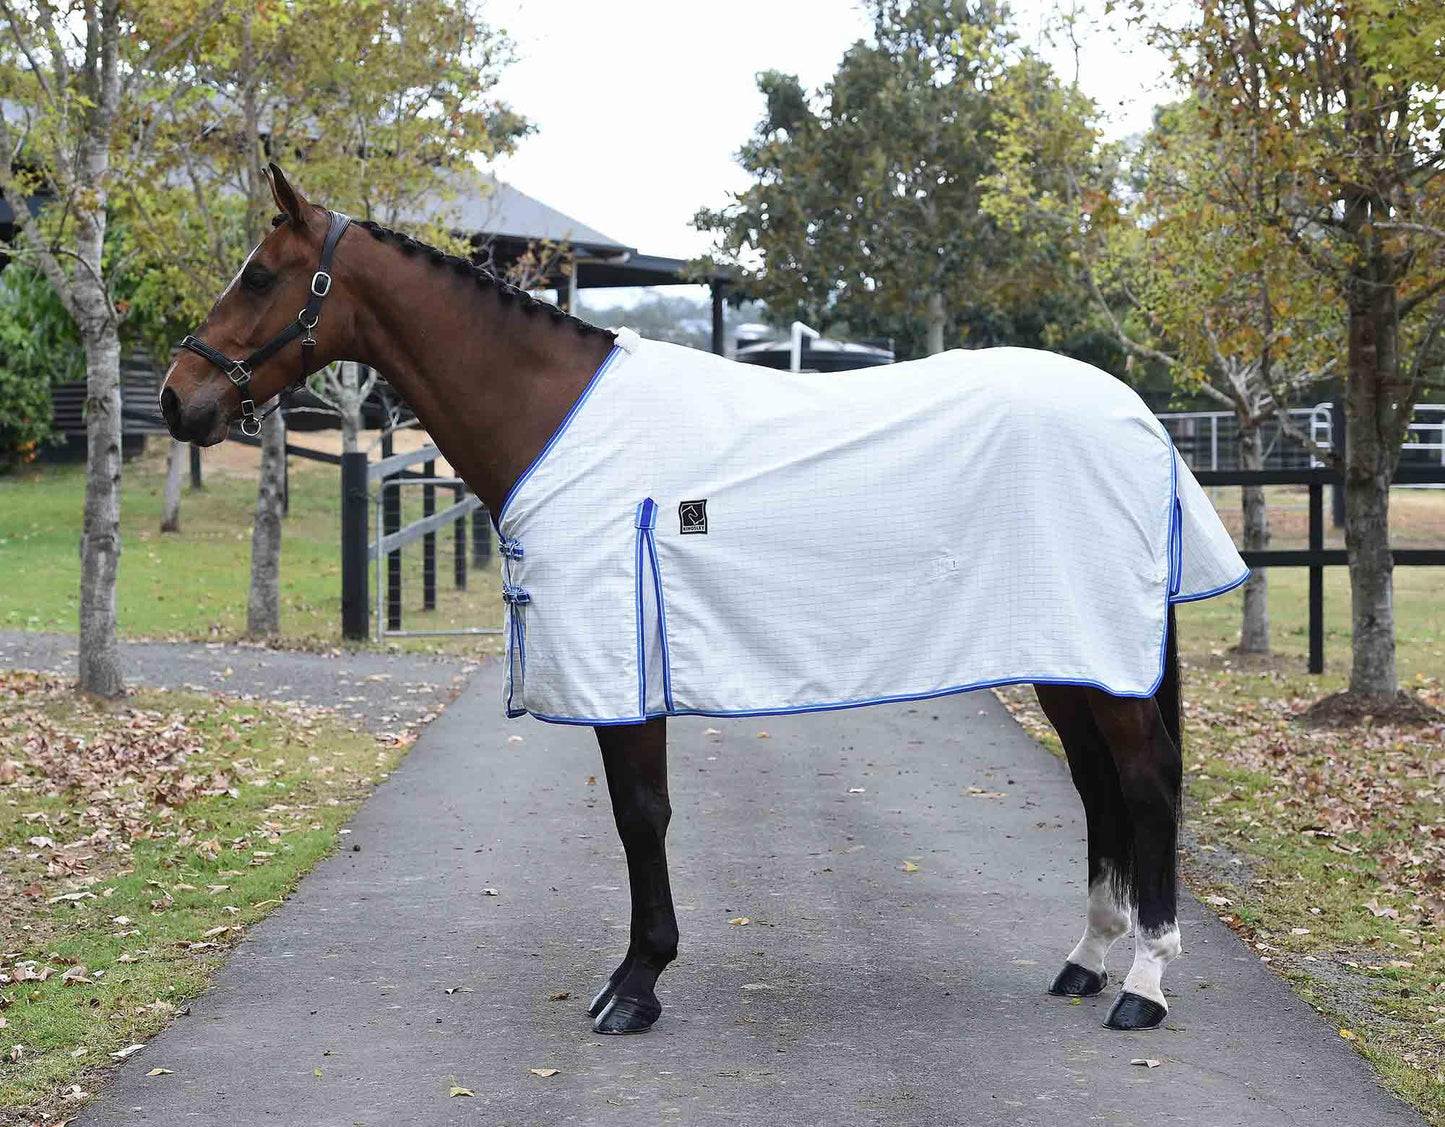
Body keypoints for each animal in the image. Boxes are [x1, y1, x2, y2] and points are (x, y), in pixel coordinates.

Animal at [160, 164, 1247, 1036]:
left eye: (260, 275)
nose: (177, 399)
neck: (553, 414)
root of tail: (1137, 420)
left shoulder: (621, 664)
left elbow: (641, 814)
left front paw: (635, 984)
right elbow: (639, 816)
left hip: (1097, 655)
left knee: (1144, 780)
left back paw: (1142, 983)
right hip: (1071, 652)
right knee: (1097, 786)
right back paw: (1085, 959)